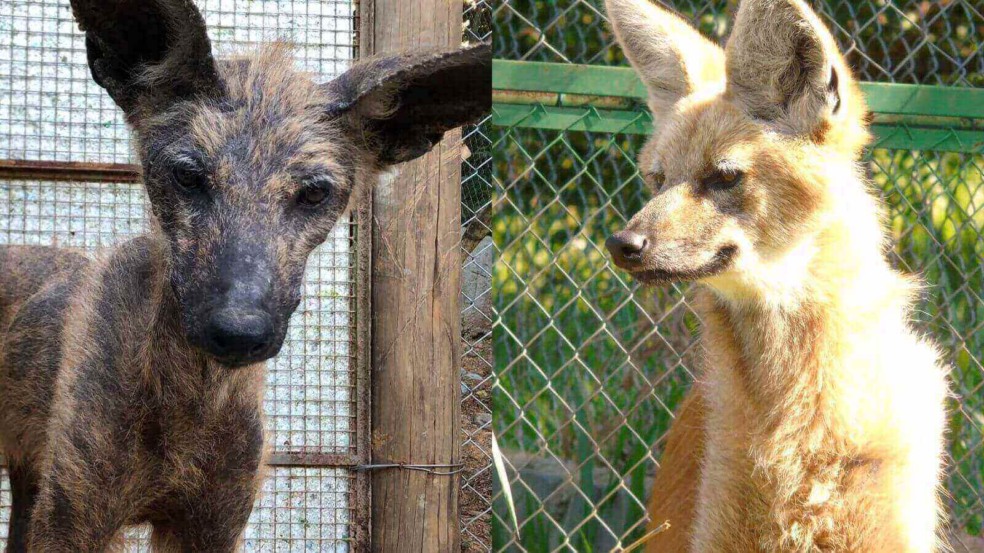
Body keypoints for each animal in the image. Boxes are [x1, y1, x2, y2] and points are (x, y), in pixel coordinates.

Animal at [0, 0, 490, 550]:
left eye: (315, 192)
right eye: (187, 175)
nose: (238, 332)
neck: (189, 402)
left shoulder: (212, 527)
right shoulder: (72, 523)